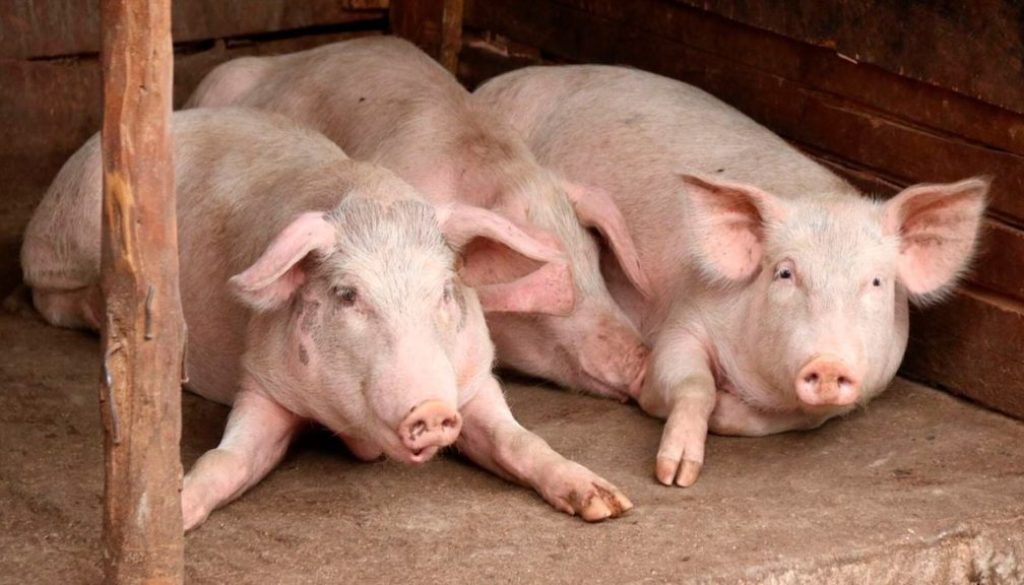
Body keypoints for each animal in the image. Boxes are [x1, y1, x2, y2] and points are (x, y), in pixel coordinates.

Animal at [21, 107, 633, 528]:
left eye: (444, 291)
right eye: (346, 295)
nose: (432, 410)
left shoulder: (474, 379)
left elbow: (520, 441)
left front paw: (608, 504)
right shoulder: (262, 381)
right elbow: (226, 460)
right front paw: (176, 510)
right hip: (69, 246)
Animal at [474, 65, 988, 487]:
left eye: (877, 282)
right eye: (784, 273)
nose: (827, 363)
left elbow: (801, 420)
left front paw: (725, 410)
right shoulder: (684, 318)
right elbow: (688, 381)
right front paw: (674, 467)